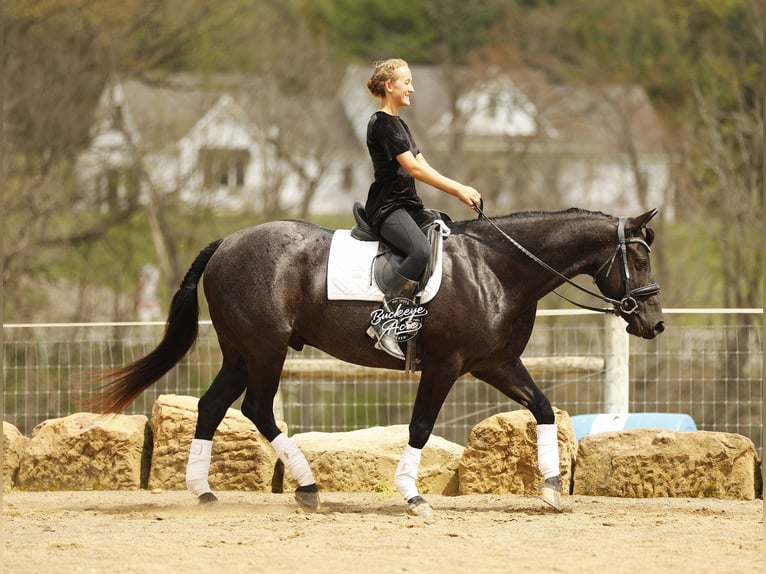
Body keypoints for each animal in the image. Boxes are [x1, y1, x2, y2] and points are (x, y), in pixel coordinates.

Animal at [89, 207, 664, 516]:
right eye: (638, 259)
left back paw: (205, 491)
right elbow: (421, 426)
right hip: (264, 350)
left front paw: (549, 490)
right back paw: (307, 487)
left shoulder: (495, 364)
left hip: (241, 352)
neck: (497, 269)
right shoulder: (446, 365)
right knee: (256, 408)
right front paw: (413, 497)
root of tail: (229, 240)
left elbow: (543, 408)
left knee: (212, 407)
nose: (654, 323)